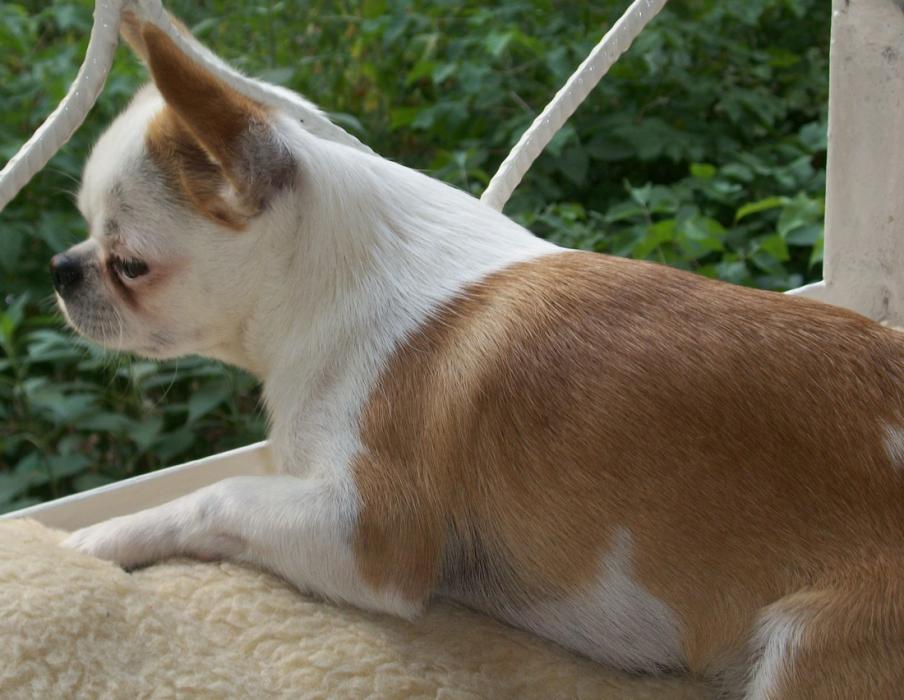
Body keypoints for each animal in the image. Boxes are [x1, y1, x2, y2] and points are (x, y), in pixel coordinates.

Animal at [52, 15, 903, 699]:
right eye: (84, 235)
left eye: (129, 264)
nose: (61, 268)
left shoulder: (368, 534)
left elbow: (218, 496)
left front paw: (101, 539)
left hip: (808, 646)